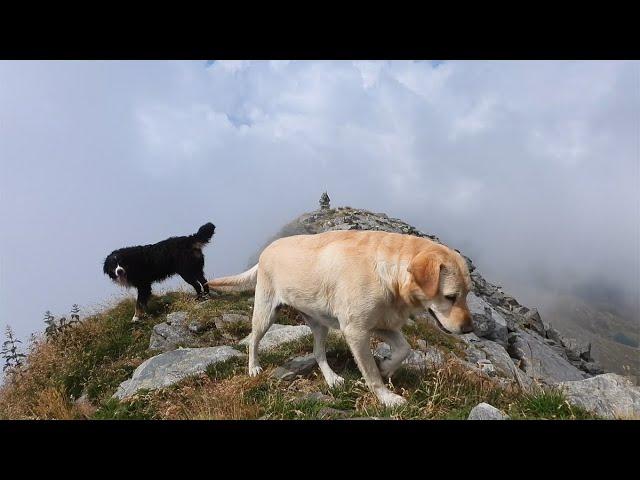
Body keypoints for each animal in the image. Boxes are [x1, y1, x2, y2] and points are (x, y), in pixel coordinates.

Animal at [208, 231, 472, 406]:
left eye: (467, 294)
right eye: (450, 297)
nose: (469, 329)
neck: (389, 273)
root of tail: (266, 251)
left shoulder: (380, 324)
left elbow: (404, 349)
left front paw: (387, 366)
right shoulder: (356, 331)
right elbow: (371, 374)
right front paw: (387, 397)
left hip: (319, 324)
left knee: (318, 352)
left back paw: (332, 379)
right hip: (266, 313)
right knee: (253, 339)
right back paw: (253, 367)